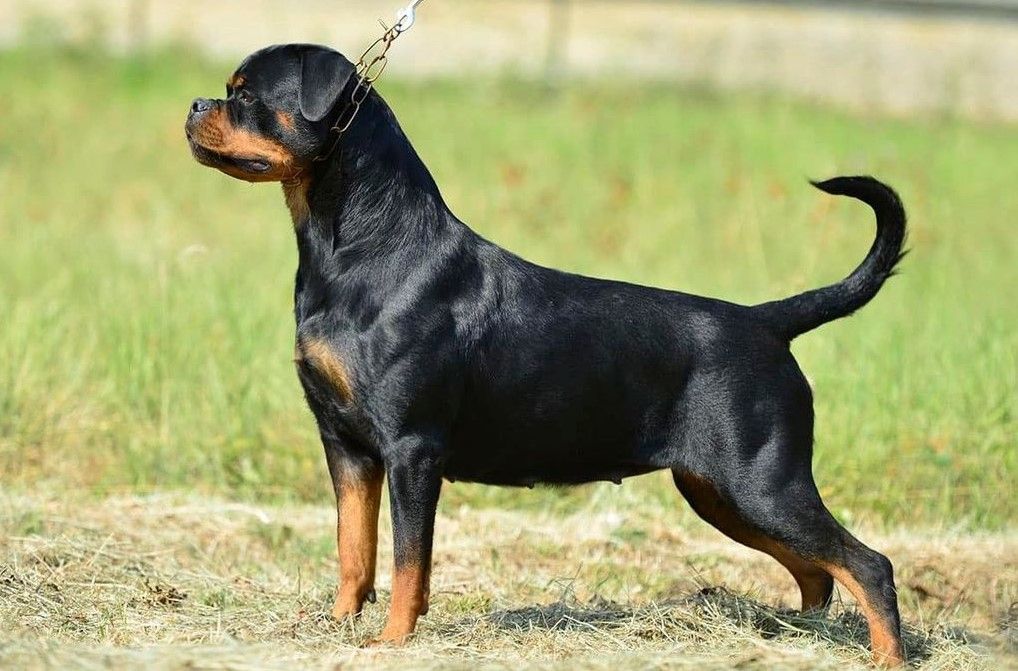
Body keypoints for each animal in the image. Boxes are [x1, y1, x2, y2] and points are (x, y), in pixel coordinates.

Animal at [185, 44, 908, 665]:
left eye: (244, 95)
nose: (195, 105)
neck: (362, 246)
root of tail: (765, 322)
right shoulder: (347, 446)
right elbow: (353, 550)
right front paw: (337, 624)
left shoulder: (412, 450)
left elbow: (407, 559)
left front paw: (392, 641)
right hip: (720, 492)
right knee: (818, 571)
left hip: (763, 483)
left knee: (868, 564)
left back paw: (885, 656)